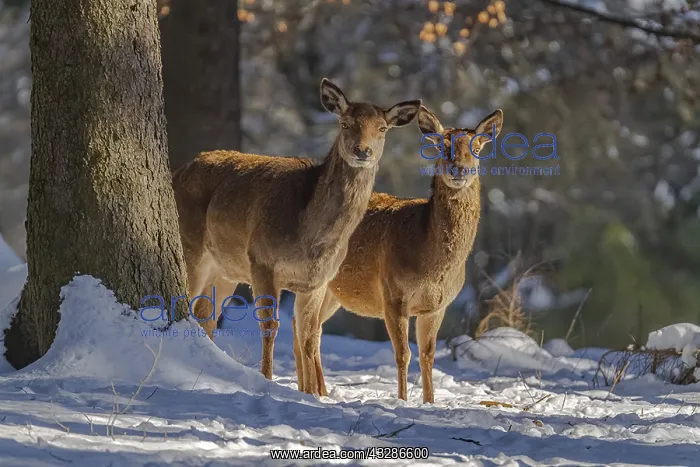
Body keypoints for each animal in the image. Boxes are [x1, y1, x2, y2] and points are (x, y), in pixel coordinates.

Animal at [171, 78, 421, 387]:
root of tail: (176, 173)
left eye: (383, 128)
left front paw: (312, 392)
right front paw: (267, 380)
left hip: (224, 271)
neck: (309, 238)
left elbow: (308, 336)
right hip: (190, 248)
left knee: (206, 315)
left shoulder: (318, 281)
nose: (363, 151)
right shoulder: (262, 260)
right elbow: (270, 325)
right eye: (345, 123)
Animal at [293, 105, 503, 403]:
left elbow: (428, 356)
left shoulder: (437, 306)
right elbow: (403, 354)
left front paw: (430, 402)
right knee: (304, 328)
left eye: (476, 147)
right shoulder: (393, 294)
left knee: (308, 327)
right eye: (442, 146)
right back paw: (312, 391)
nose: (459, 169)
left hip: (333, 293)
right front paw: (403, 400)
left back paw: (316, 390)